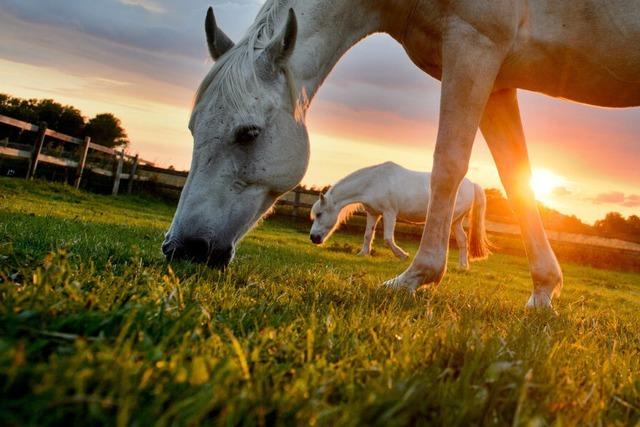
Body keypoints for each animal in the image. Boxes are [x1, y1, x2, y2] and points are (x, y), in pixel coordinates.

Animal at [310, 162, 490, 270]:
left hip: (450, 220)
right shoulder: (373, 213)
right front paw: (363, 254)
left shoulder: (389, 213)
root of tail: (472, 185)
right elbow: (368, 235)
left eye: (319, 214)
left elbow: (388, 238)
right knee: (463, 240)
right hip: (456, 222)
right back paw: (462, 266)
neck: (373, 182)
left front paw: (403, 255)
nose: (313, 238)